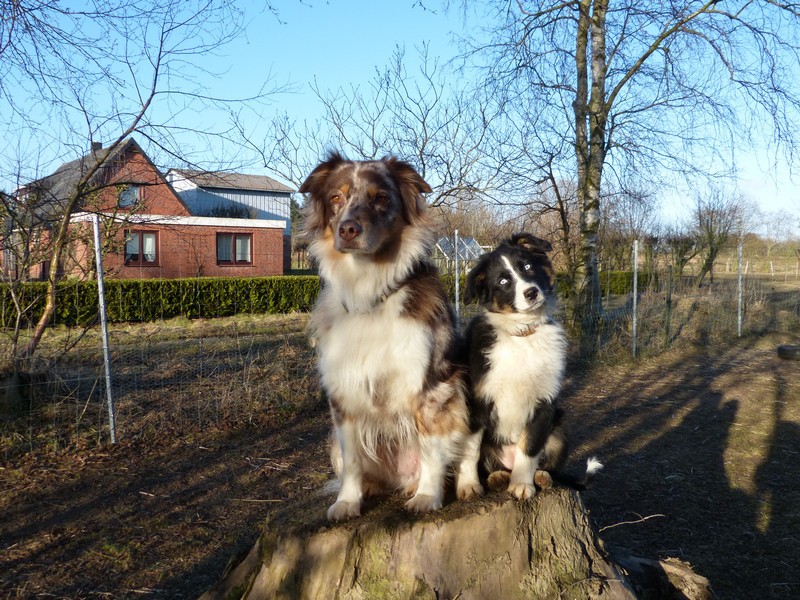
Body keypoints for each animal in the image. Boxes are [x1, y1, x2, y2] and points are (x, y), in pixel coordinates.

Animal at [299, 152, 476, 521]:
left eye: (380, 197)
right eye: (336, 198)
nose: (348, 229)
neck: (368, 290)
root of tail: (400, 478)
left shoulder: (430, 386)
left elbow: (431, 449)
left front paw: (428, 496)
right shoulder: (343, 396)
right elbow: (353, 462)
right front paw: (348, 502)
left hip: (463, 393)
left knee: (465, 449)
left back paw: (461, 486)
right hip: (331, 442)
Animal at [461, 233, 602, 500]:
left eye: (527, 267)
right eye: (503, 281)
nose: (531, 293)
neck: (522, 334)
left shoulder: (543, 402)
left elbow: (529, 447)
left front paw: (522, 485)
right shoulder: (476, 400)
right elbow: (470, 449)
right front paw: (468, 486)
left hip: (559, 428)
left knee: (545, 462)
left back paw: (540, 477)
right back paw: (496, 477)